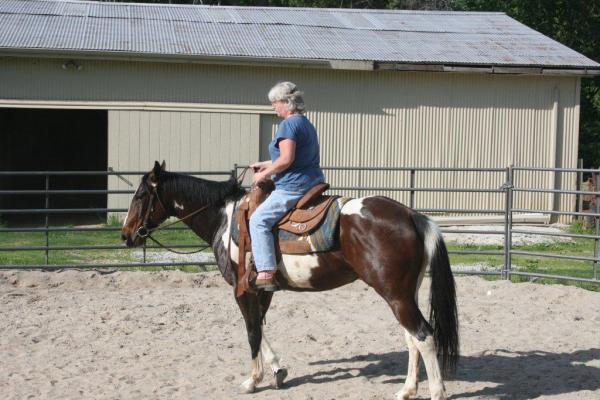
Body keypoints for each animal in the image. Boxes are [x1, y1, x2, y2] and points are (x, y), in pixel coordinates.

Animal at [122, 160, 460, 400]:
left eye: (140, 195)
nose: (126, 235)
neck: (226, 218)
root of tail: (412, 216)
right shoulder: (263, 289)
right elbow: (260, 327)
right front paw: (277, 370)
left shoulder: (242, 289)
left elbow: (251, 331)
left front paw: (252, 380)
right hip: (404, 294)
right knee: (411, 338)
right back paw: (407, 390)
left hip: (395, 295)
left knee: (424, 336)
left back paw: (437, 392)